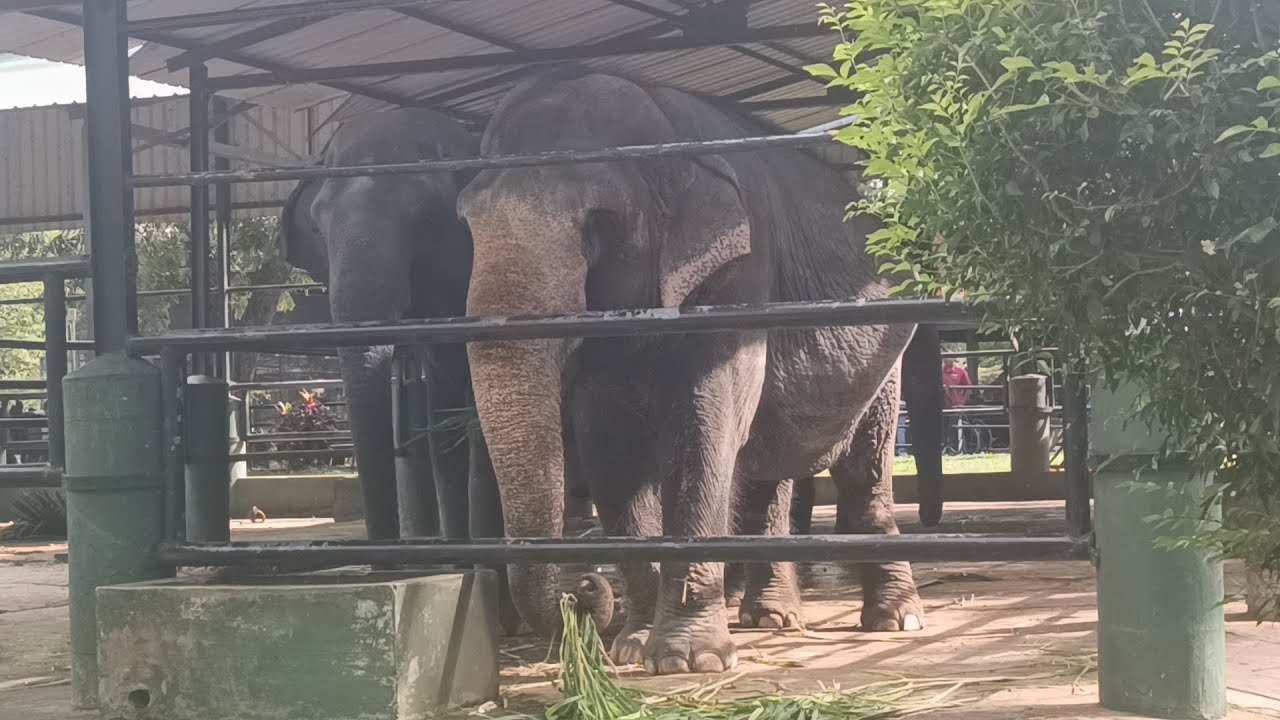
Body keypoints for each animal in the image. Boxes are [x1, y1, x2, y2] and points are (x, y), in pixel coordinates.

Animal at [458, 70, 935, 675]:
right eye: (467, 223)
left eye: (598, 225)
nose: (586, 587)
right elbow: (610, 449)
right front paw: (633, 646)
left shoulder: (739, 273)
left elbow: (705, 420)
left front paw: (689, 660)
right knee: (768, 469)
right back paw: (771, 618)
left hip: (887, 353)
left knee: (863, 467)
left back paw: (896, 619)